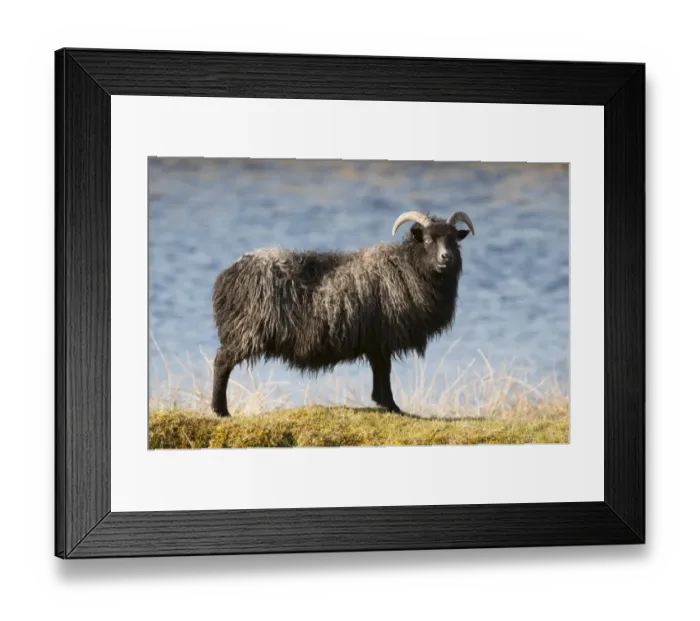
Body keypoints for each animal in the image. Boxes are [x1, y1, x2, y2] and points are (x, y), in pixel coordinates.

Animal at [210, 210, 475, 417]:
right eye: (428, 240)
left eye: (454, 240)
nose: (446, 257)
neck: (408, 267)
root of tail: (227, 276)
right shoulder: (382, 337)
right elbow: (384, 371)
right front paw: (392, 406)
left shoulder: (376, 341)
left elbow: (380, 371)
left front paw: (383, 402)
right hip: (247, 330)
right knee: (221, 362)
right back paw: (220, 410)